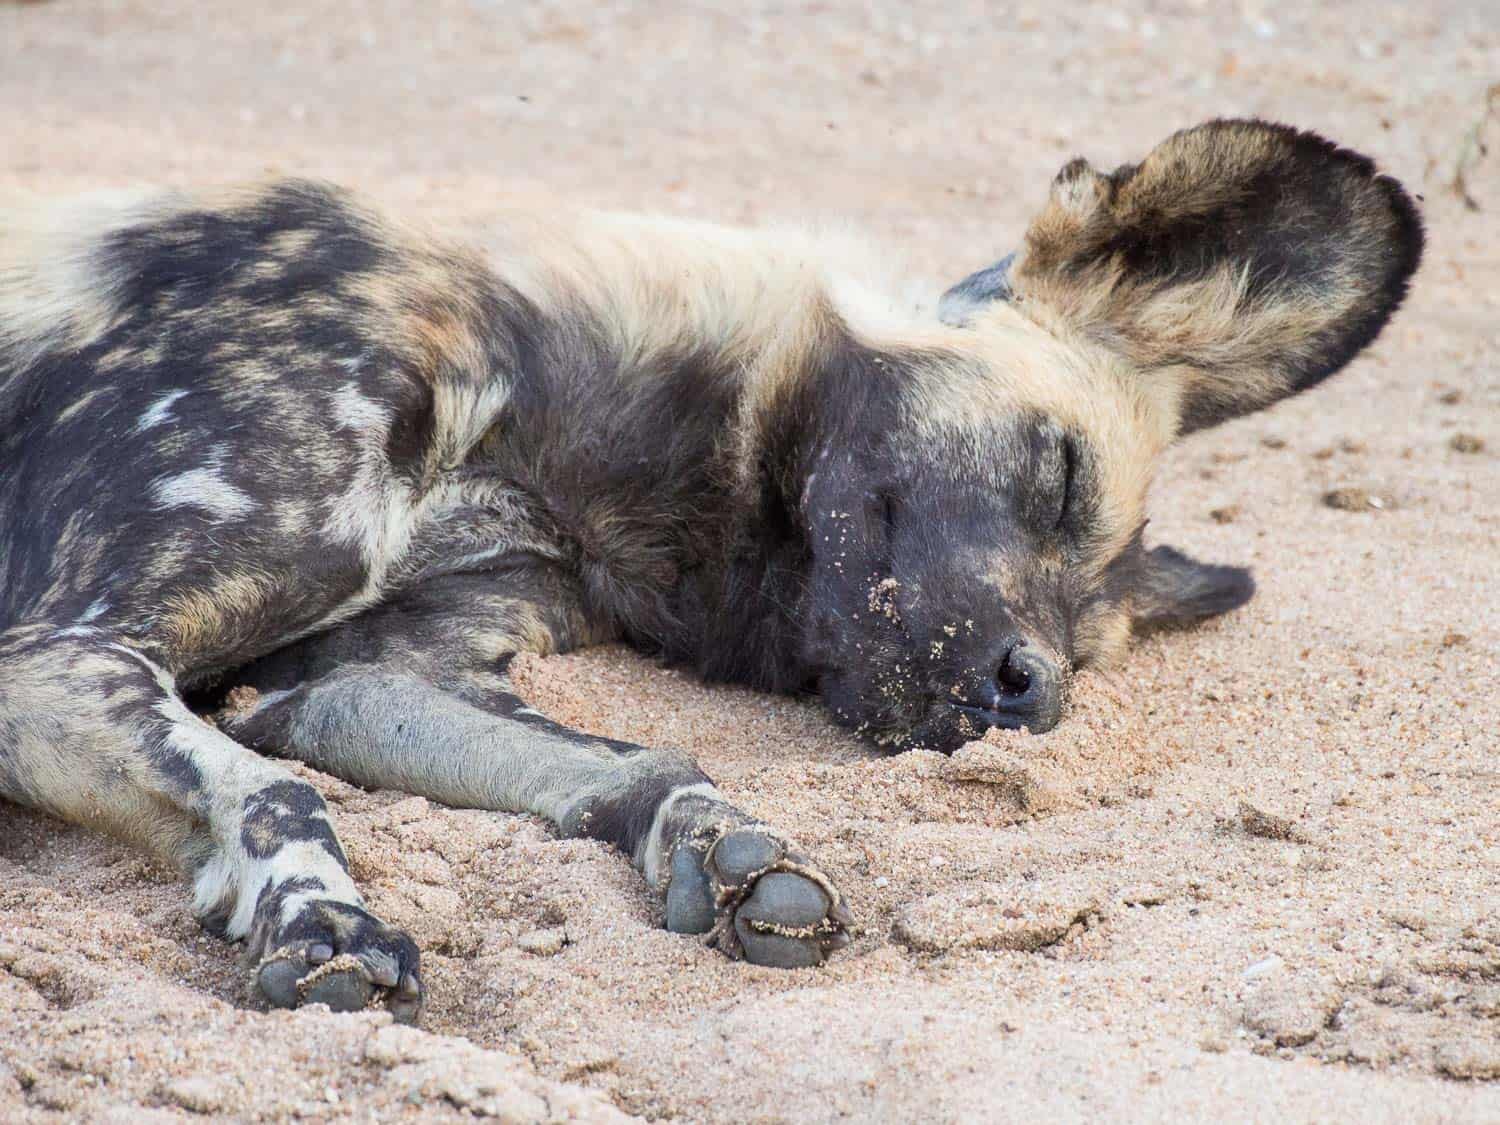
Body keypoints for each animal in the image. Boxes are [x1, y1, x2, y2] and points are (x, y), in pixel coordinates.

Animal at [2, 121, 1416, 1020]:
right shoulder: (56, 661)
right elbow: (283, 801)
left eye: (1090, 643)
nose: (1038, 696)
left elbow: (632, 759)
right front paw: (325, 926)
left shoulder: (351, 686)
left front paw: (719, 840)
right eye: (1060, 473)